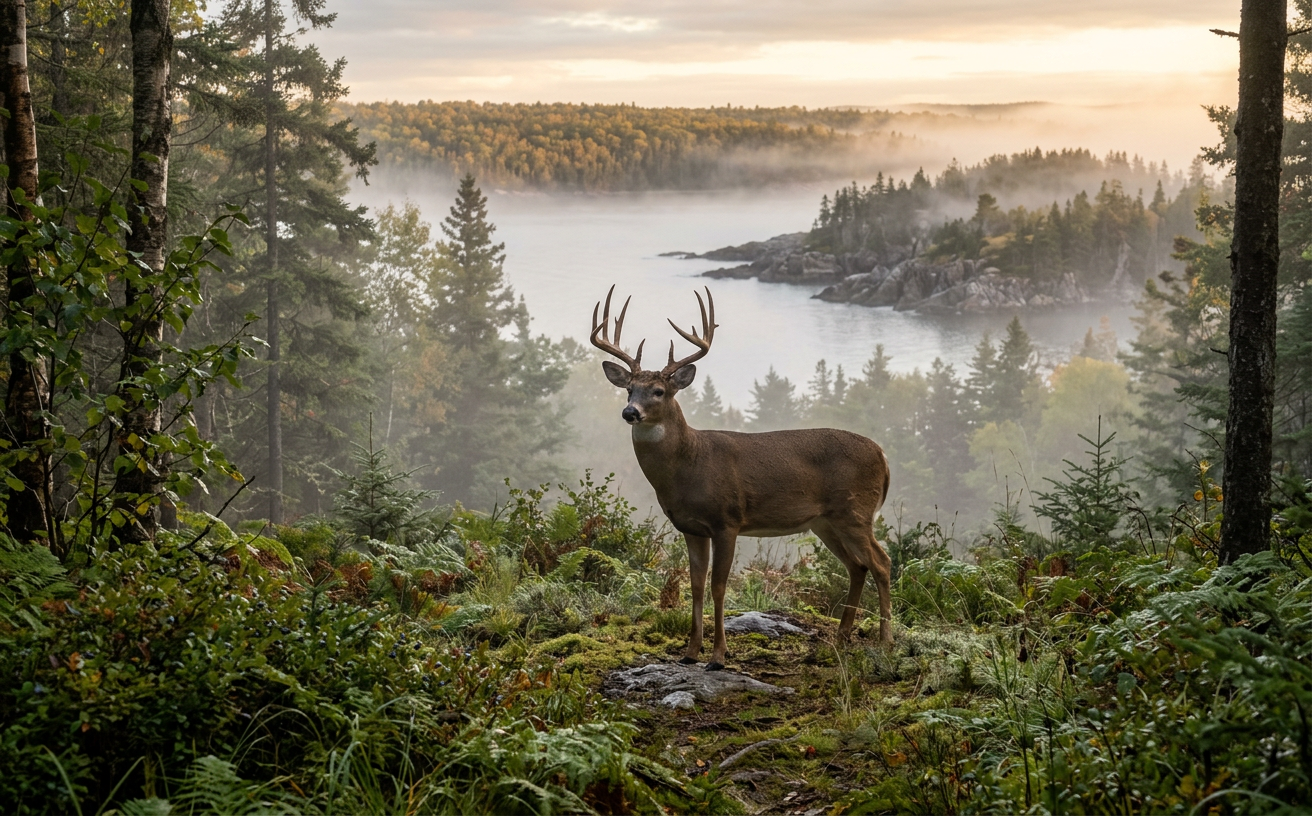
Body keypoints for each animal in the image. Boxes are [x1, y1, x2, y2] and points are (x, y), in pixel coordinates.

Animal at [590, 285, 893, 671]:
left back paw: (886, 641)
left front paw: (718, 656)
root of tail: (883, 457)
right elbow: (696, 585)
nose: (630, 412)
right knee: (858, 566)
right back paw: (840, 638)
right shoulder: (691, 527)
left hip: (855, 510)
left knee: (882, 562)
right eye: (629, 389)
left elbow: (719, 586)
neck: (689, 465)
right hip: (826, 521)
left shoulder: (728, 519)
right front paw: (690, 652)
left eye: (659, 391)